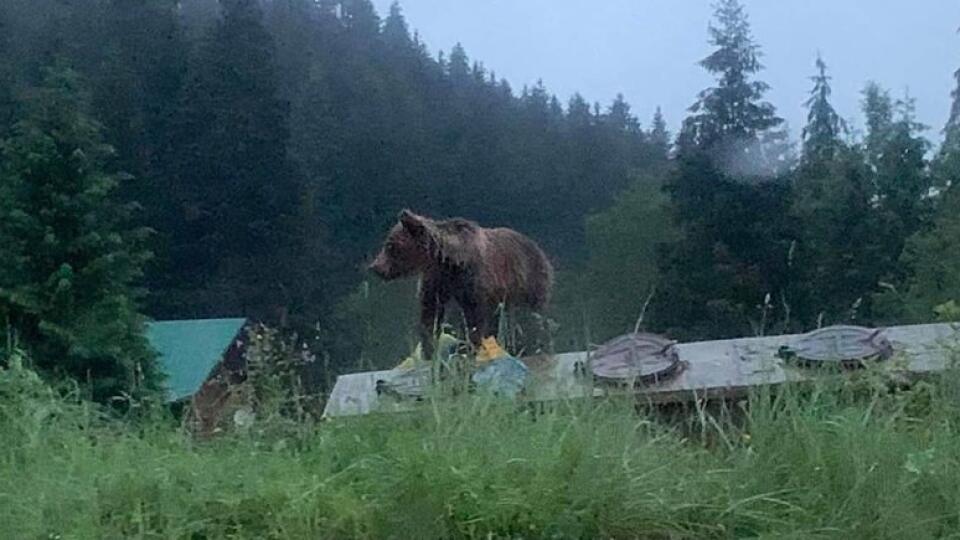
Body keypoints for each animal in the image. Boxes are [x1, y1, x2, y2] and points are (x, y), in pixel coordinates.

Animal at [370, 209, 556, 360]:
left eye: (389, 245)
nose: (375, 267)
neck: (449, 262)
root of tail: (538, 249)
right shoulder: (437, 280)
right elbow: (431, 313)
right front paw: (429, 350)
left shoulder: (473, 282)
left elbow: (474, 317)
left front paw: (469, 348)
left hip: (529, 282)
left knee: (532, 317)